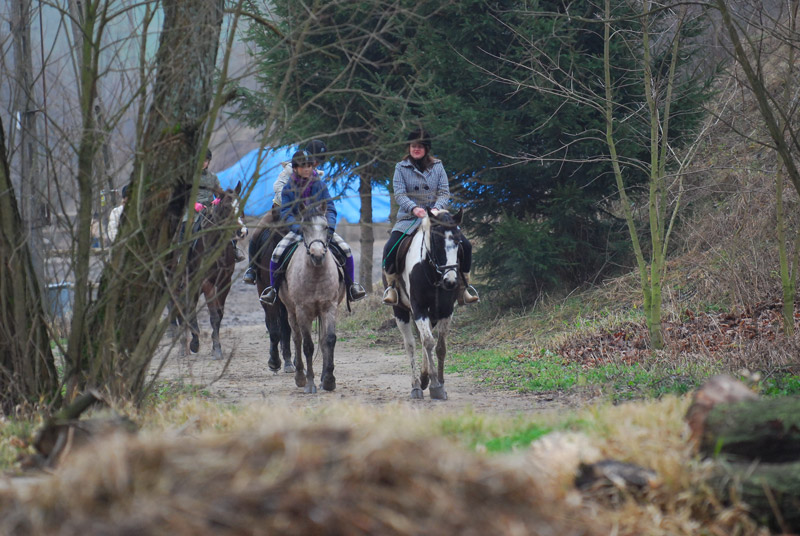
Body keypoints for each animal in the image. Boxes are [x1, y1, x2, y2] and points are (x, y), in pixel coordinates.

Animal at [175, 181, 247, 360]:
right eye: (227, 207)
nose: (242, 232)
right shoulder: (206, 282)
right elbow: (214, 315)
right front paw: (217, 349)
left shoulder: (225, 282)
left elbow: (219, 314)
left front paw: (215, 347)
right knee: (180, 311)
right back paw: (184, 347)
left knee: (190, 309)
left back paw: (193, 342)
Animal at [390, 208, 466, 398]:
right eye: (437, 241)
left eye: (458, 241)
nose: (451, 281)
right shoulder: (419, 308)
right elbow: (428, 342)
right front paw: (435, 386)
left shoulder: (446, 310)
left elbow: (439, 346)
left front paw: (439, 382)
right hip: (400, 310)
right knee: (411, 344)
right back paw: (417, 385)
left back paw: (424, 379)